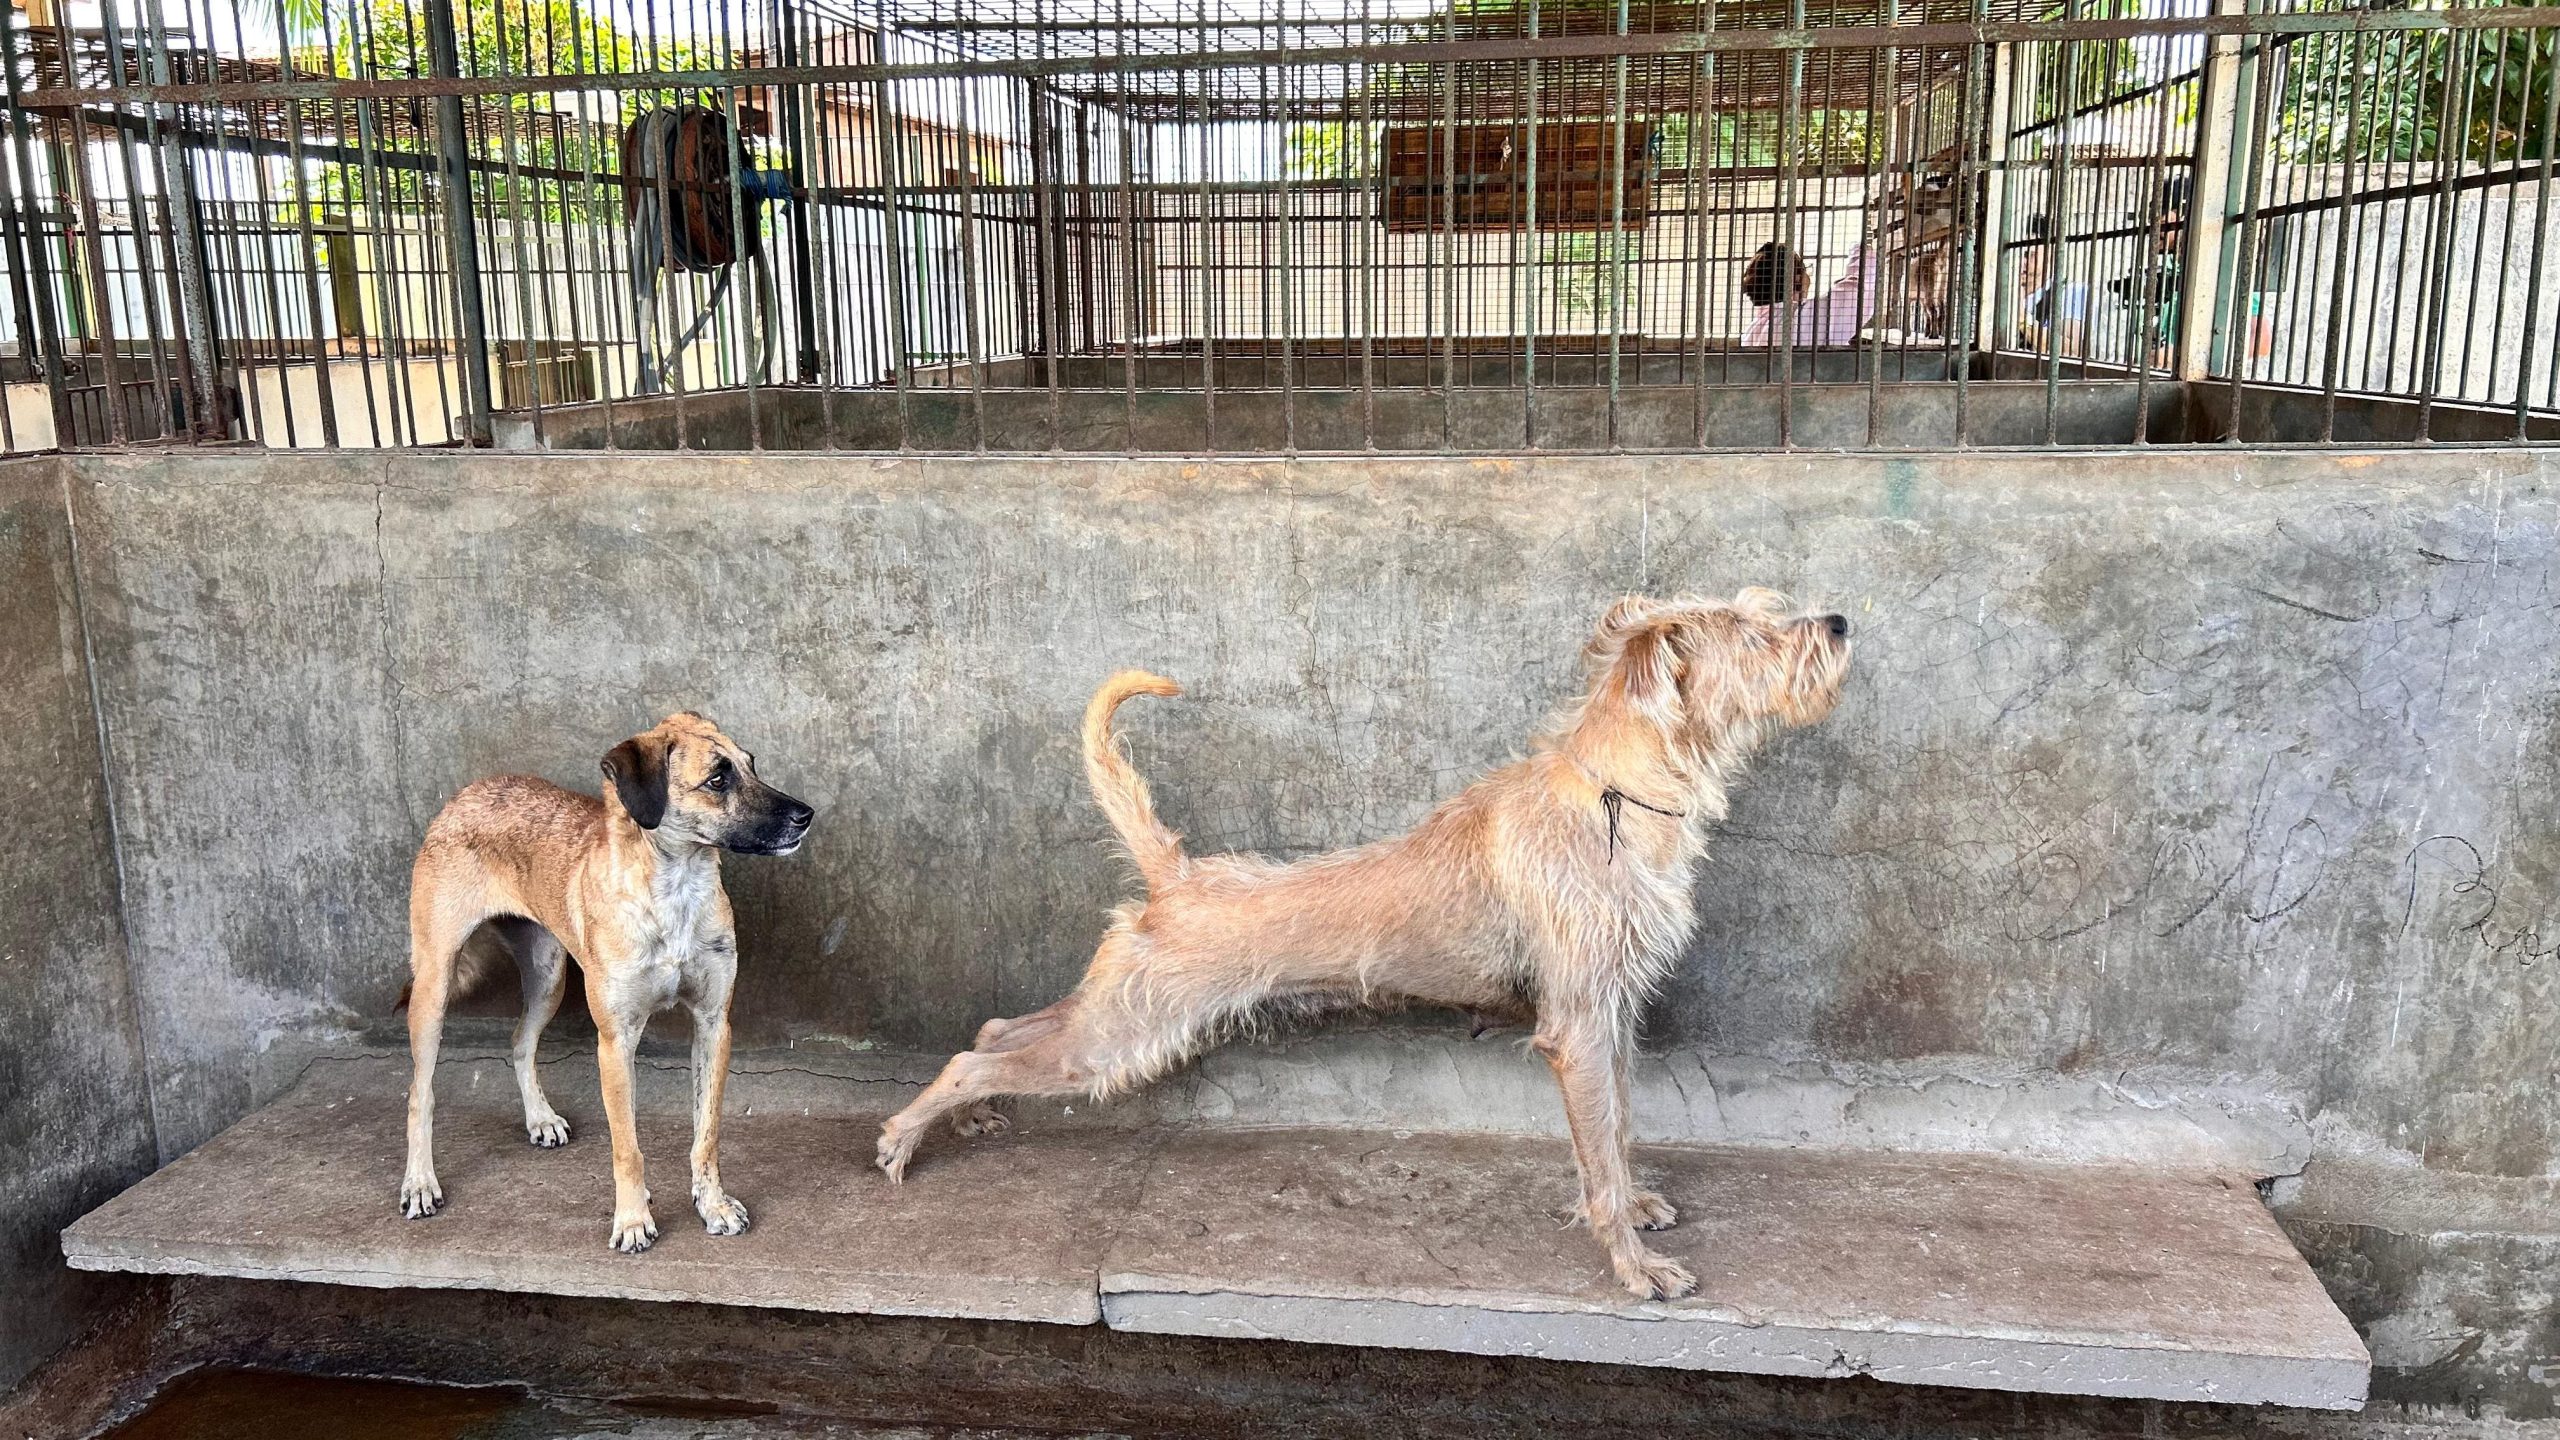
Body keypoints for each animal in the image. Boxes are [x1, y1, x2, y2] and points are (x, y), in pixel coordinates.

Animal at [399, 712, 808, 1250]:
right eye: (717, 779)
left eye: (751, 765)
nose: (807, 815)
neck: (674, 890)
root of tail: (466, 793)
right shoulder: (616, 1041)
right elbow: (626, 1145)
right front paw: (632, 1220)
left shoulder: (713, 1025)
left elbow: (707, 1133)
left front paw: (713, 1204)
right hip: (434, 986)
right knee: (420, 1093)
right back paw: (420, 1182)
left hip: (548, 976)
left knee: (520, 1040)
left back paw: (540, 1118)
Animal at [875, 589, 1843, 1296]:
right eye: (1753, 632)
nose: (1838, 622)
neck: (1615, 790)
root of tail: (1175, 874)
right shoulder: (1577, 1026)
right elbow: (1597, 1155)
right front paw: (1635, 1268)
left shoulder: (1613, 1015)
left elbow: (1618, 1131)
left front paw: (1637, 1207)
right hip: (1118, 1038)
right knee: (975, 1056)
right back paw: (907, 1136)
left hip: (1112, 1015)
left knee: (997, 1031)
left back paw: (968, 1115)